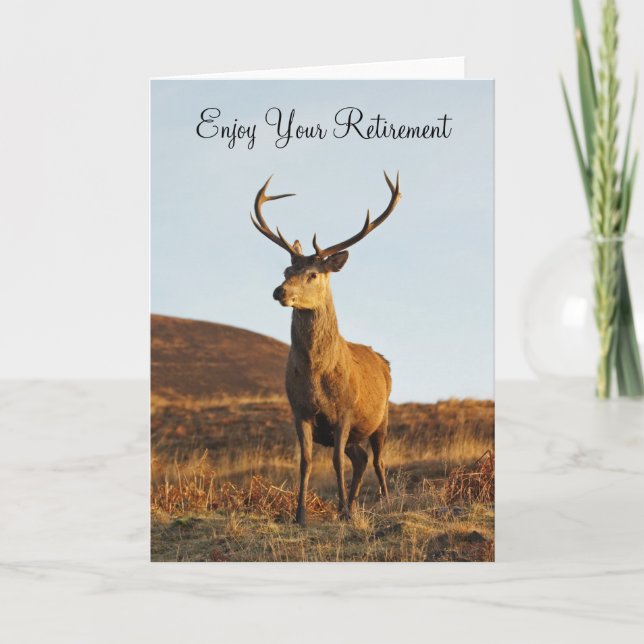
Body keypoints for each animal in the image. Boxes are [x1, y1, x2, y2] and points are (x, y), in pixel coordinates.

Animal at [250, 172, 402, 526]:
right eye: (286, 271)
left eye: (313, 274)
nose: (279, 291)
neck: (316, 375)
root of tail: (384, 361)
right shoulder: (300, 411)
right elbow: (306, 462)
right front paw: (301, 515)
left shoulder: (344, 412)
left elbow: (335, 462)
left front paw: (342, 512)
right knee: (360, 458)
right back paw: (353, 504)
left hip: (382, 417)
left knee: (377, 460)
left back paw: (381, 502)